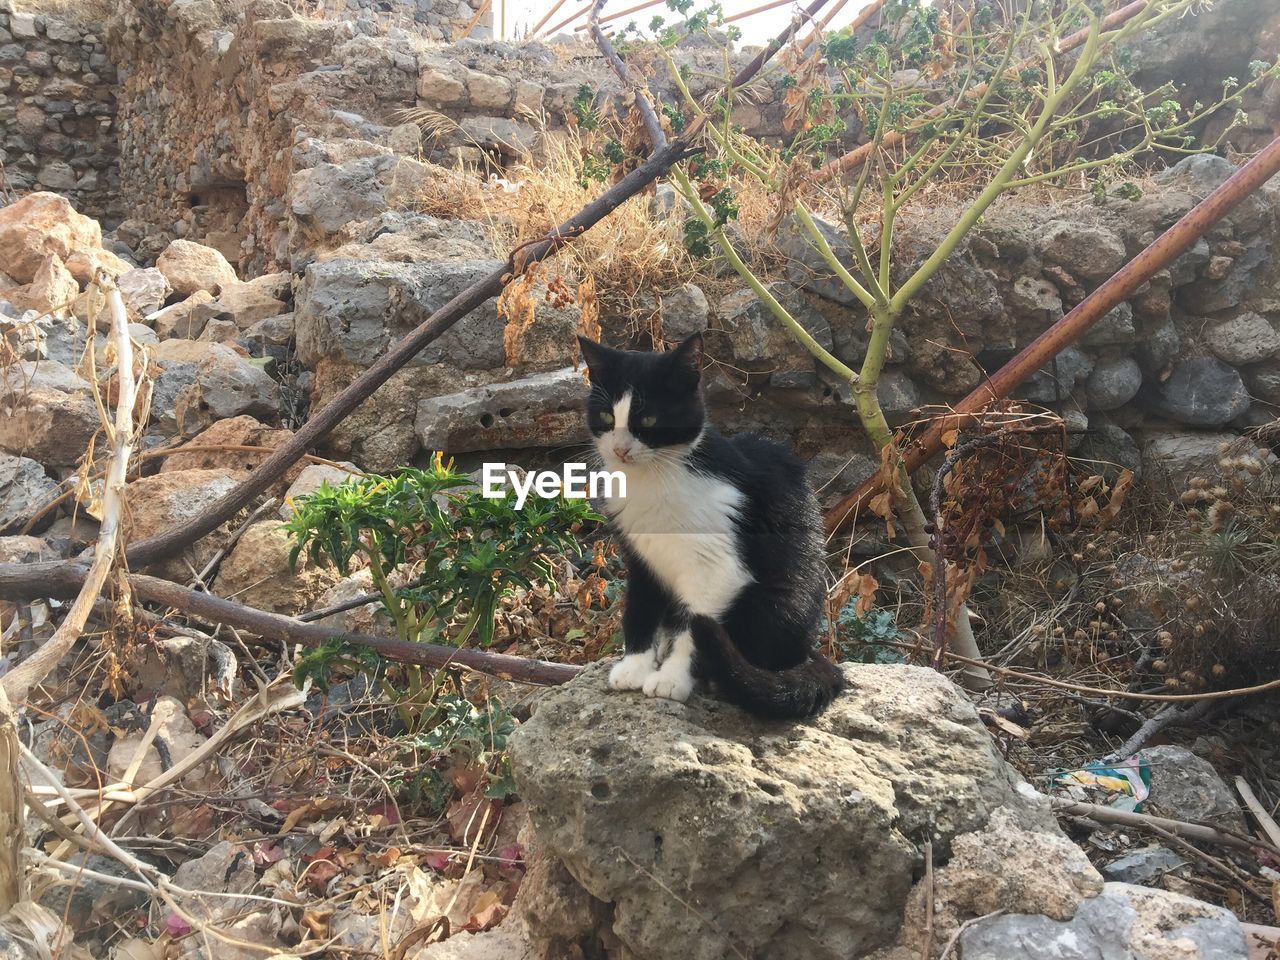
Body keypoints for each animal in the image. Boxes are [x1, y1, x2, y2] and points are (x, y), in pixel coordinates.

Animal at [576, 335, 844, 716]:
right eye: (607, 416)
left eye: (650, 418)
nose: (620, 450)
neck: (656, 477)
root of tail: (806, 651)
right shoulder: (640, 555)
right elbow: (640, 607)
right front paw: (634, 667)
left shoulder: (718, 568)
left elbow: (695, 629)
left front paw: (672, 678)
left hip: (775, 602)